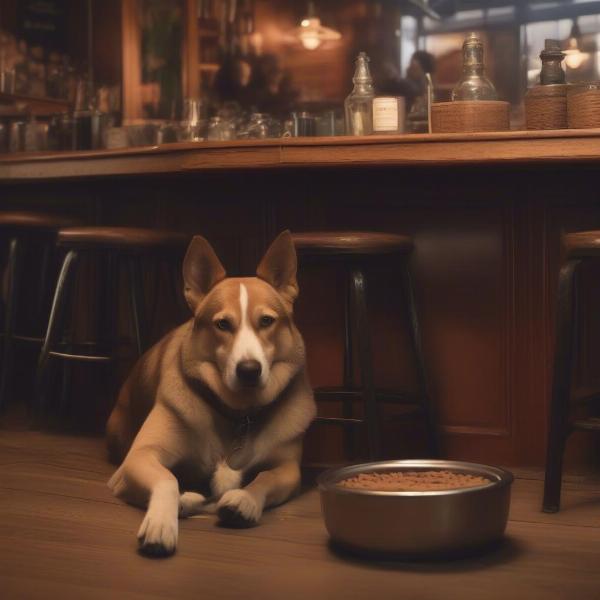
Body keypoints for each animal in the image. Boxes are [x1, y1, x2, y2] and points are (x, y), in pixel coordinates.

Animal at [106, 231, 316, 556]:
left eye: (267, 321)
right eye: (223, 324)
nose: (249, 370)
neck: (238, 415)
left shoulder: (289, 469)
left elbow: (266, 477)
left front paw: (245, 499)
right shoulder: (139, 457)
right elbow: (167, 479)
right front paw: (161, 522)